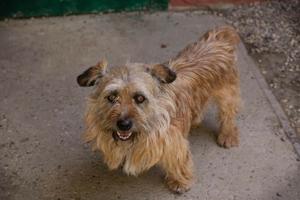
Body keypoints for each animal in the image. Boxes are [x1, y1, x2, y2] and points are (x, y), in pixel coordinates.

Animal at [77, 25, 241, 193]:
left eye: (140, 98)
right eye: (111, 96)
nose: (123, 124)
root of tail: (219, 35)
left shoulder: (174, 142)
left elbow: (178, 160)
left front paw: (179, 182)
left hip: (226, 93)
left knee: (228, 114)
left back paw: (227, 135)